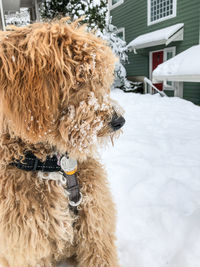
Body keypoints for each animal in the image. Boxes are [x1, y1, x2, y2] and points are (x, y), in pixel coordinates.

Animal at [0, 19, 125, 267]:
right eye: (79, 78)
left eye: (100, 79)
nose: (119, 121)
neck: (50, 164)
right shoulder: (27, 249)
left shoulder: (96, 228)